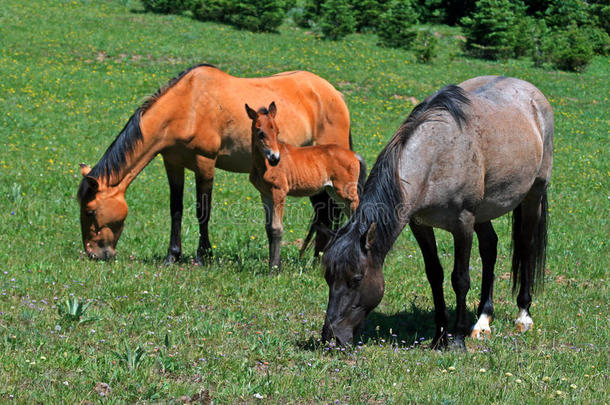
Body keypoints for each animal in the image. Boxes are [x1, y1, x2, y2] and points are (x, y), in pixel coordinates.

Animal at [76, 64, 352, 264]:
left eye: (90, 211)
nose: (94, 253)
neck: (187, 107)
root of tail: (334, 94)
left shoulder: (205, 164)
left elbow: (202, 211)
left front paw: (203, 255)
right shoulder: (172, 164)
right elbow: (176, 209)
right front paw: (172, 255)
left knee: (329, 211)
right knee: (324, 212)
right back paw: (316, 258)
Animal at [243, 102, 366, 270]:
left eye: (277, 131)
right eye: (260, 133)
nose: (275, 158)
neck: (264, 165)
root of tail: (354, 155)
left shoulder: (279, 192)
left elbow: (276, 229)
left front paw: (274, 269)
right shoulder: (266, 194)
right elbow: (268, 229)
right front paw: (272, 265)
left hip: (347, 192)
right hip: (336, 193)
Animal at [320, 76, 552, 348]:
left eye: (356, 279)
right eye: (328, 277)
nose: (331, 337)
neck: (438, 155)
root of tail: (530, 91)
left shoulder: (463, 223)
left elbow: (460, 278)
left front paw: (458, 337)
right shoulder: (420, 224)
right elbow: (435, 274)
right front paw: (440, 335)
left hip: (533, 194)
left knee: (526, 245)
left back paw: (523, 315)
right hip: (484, 210)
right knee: (489, 247)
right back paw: (483, 320)